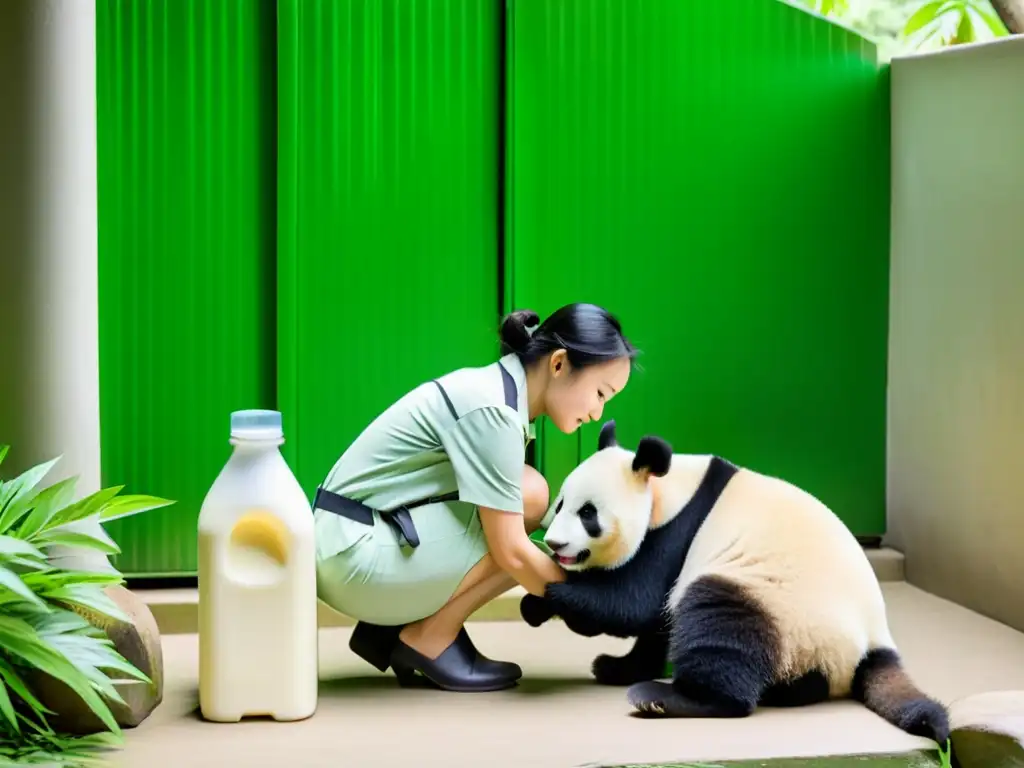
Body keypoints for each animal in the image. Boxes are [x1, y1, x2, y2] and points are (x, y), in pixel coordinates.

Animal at [524, 417, 946, 749]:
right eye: (559, 504)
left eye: (588, 514)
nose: (555, 544)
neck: (667, 489)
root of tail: (874, 642)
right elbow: (655, 623)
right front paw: (616, 666)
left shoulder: (678, 533)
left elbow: (632, 603)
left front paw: (550, 598)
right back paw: (790, 690)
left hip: (781, 603)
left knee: (721, 622)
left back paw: (672, 698)